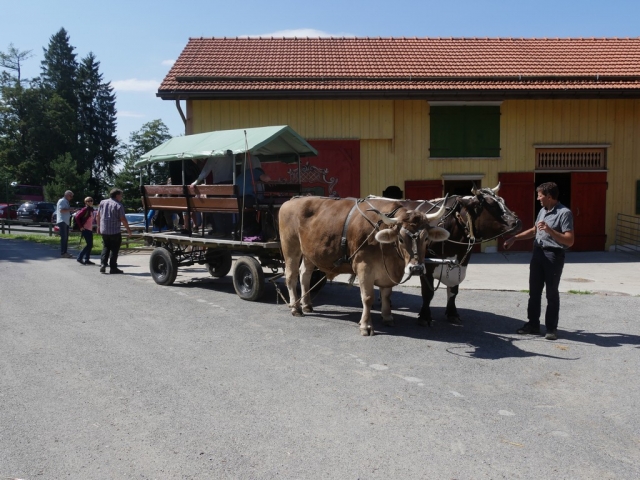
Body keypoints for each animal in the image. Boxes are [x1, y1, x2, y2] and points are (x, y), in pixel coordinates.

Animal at [278, 197, 448, 336]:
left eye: (426, 238)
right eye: (400, 239)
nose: (416, 268)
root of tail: (292, 200)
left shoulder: (386, 272)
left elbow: (386, 295)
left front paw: (387, 317)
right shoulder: (364, 267)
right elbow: (367, 298)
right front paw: (366, 325)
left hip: (309, 252)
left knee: (304, 275)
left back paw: (307, 304)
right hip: (291, 247)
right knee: (291, 276)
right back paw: (296, 307)